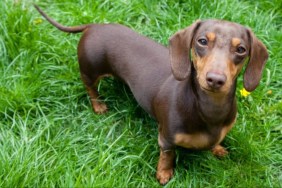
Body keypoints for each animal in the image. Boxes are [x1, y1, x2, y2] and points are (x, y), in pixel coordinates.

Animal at [34, 5, 268, 184]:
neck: (209, 109)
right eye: (202, 41)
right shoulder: (166, 137)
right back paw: (98, 106)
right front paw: (163, 174)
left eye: (241, 49)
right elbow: (168, 155)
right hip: (89, 70)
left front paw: (218, 149)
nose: (216, 79)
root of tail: (94, 25)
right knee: (91, 89)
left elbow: (216, 141)